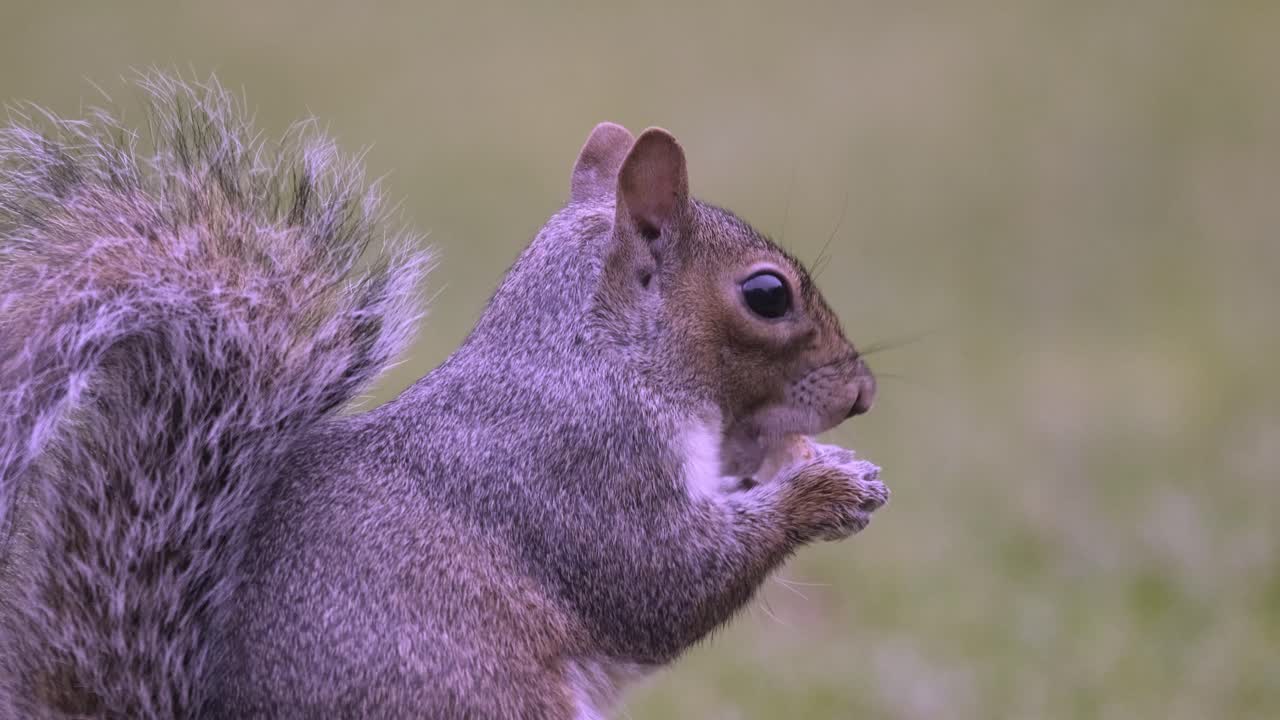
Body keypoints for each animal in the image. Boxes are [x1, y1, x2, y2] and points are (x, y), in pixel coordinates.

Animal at [0, 75, 888, 719]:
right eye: (768, 295)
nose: (863, 393)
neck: (598, 358)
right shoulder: (582, 470)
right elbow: (665, 582)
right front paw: (826, 488)